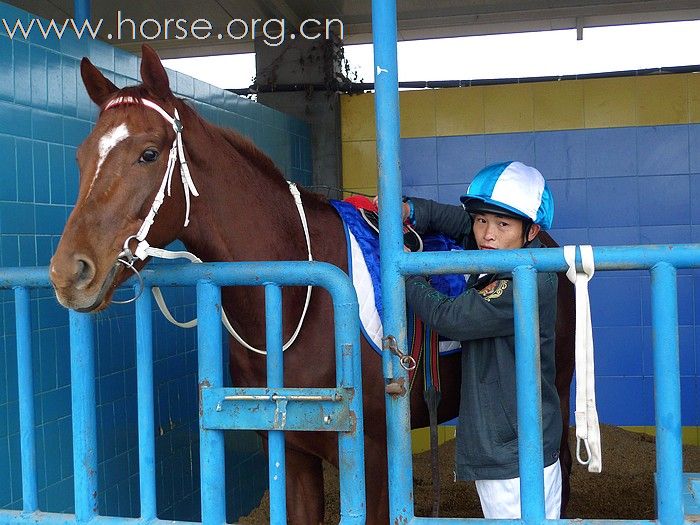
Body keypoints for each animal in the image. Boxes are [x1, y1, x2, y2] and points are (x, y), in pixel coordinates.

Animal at [50, 45, 576, 524]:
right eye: (79, 158)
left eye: (149, 153)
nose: (69, 272)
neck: (295, 303)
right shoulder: (292, 453)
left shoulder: (374, 458)